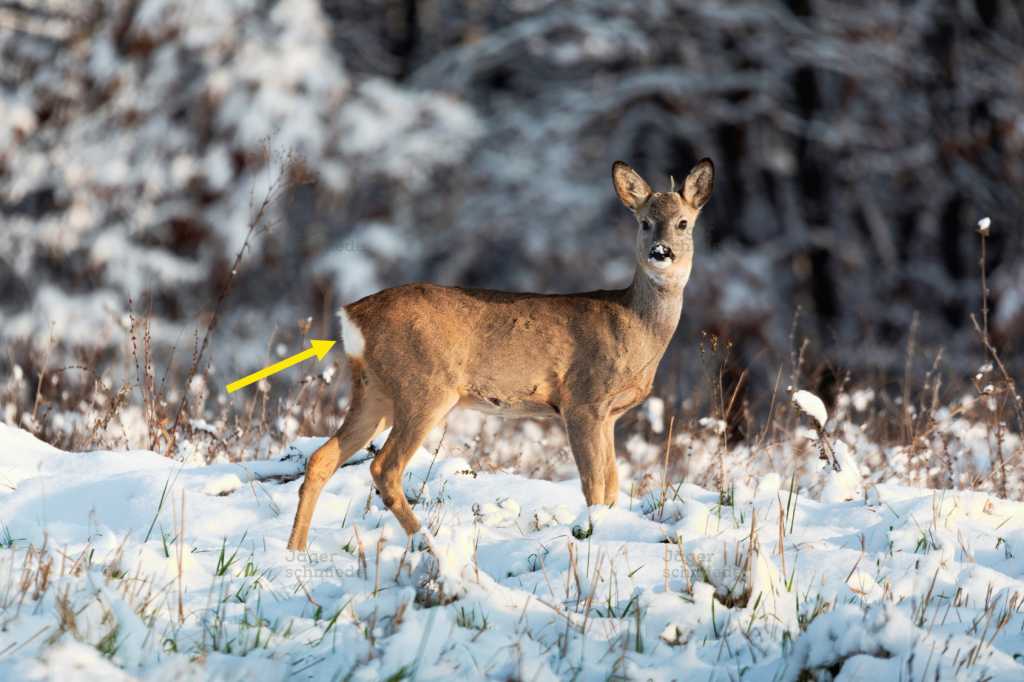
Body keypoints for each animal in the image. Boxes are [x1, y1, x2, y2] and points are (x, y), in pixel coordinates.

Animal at [284, 156, 716, 548]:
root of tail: (352, 315)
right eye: (644, 222)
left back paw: (296, 549)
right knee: (384, 467)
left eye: (683, 223)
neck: (635, 326)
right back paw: (427, 543)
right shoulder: (583, 401)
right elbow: (595, 486)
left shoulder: (609, 415)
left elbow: (611, 485)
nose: (661, 252)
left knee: (322, 458)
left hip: (375, 391)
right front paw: (590, 537)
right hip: (424, 385)